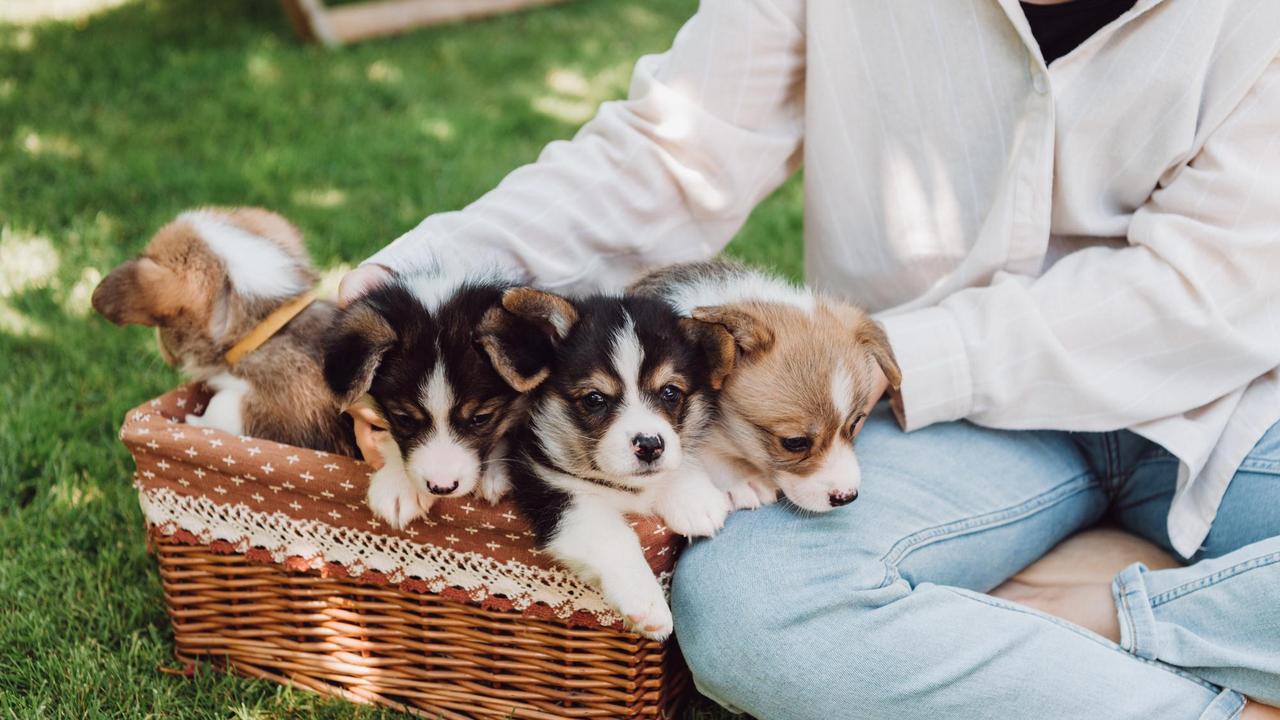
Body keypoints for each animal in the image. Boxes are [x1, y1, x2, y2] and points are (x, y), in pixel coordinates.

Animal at [481, 288, 737, 635]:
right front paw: (647, 602)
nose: (649, 445)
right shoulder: (551, 488)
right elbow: (613, 535)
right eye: (594, 399)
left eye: (670, 392)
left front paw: (694, 500)